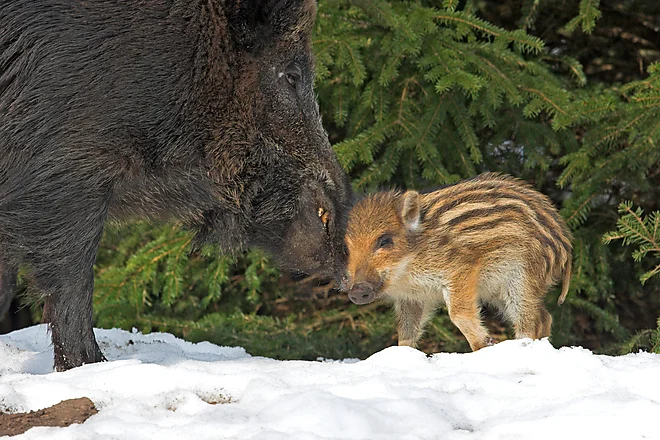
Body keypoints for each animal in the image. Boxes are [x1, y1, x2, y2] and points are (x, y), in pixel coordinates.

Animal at [343, 173, 572, 351]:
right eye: (347, 247)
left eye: (385, 240)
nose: (356, 291)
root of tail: (565, 243)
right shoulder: (411, 297)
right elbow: (406, 333)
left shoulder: (460, 270)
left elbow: (458, 313)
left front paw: (484, 345)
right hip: (498, 290)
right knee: (545, 317)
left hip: (522, 278)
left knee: (530, 322)